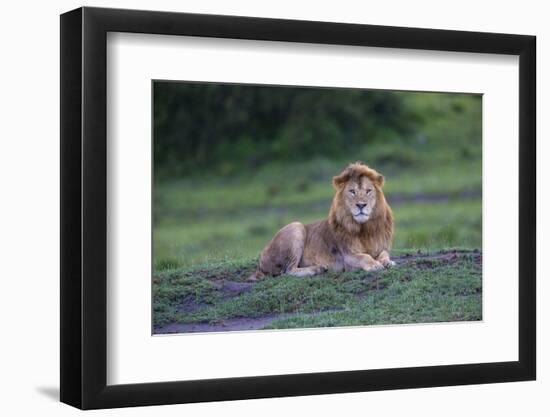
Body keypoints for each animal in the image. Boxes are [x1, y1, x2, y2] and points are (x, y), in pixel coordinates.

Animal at [250, 162, 396, 280]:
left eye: (368, 191)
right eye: (352, 191)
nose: (361, 205)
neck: (364, 228)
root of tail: (260, 261)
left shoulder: (381, 247)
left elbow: (384, 254)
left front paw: (388, 262)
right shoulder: (347, 256)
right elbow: (365, 256)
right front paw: (375, 265)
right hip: (296, 226)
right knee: (287, 271)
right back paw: (317, 269)